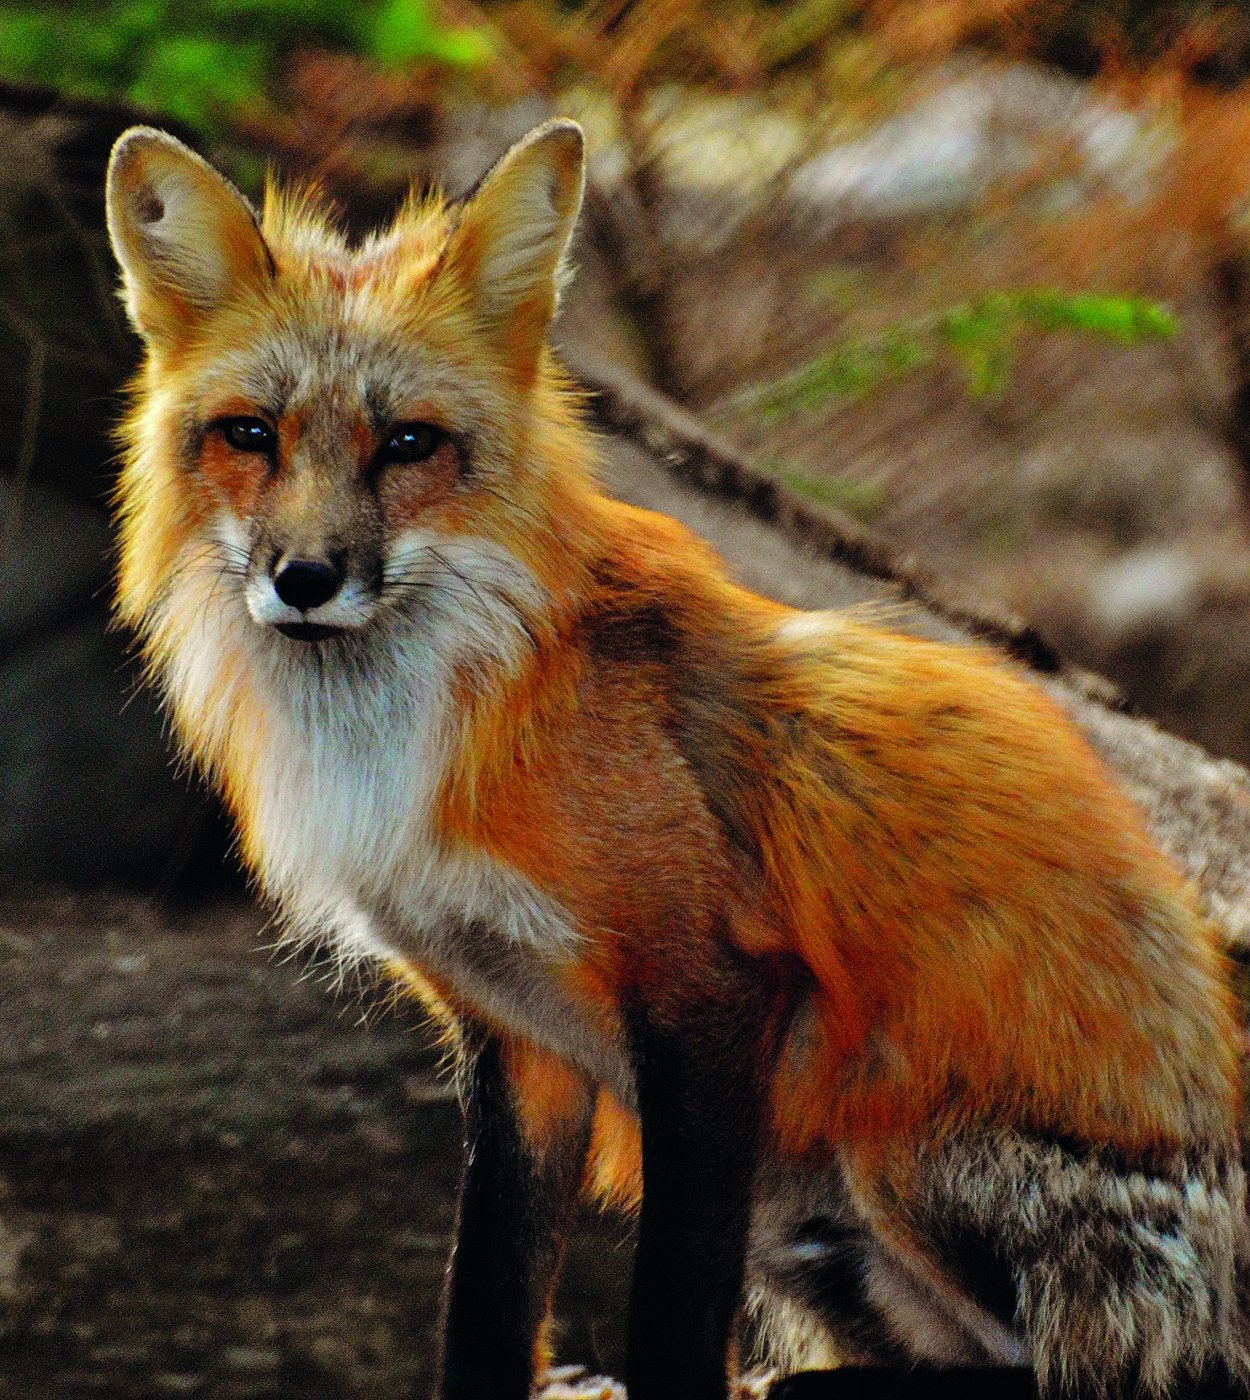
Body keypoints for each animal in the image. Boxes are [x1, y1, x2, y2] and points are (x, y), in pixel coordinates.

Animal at [104, 118, 1249, 1400]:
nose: (304, 578)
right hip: (803, 1223)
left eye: (408, 444)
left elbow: (667, 1311)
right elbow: (484, 1301)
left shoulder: (710, 996)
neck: (424, 724)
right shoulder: (513, 1037)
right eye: (249, 434)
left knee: (1083, 1369)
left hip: (889, 1145)